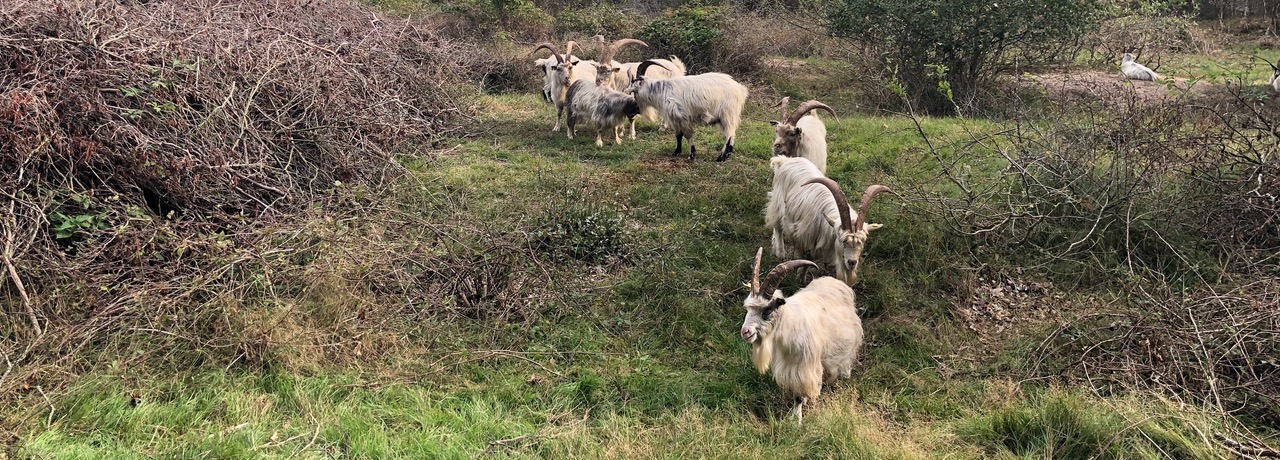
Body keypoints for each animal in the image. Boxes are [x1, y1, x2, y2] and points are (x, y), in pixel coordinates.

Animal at [740, 247, 864, 423]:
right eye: (748, 309)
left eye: (767, 310)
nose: (745, 332)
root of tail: (836, 282)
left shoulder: (804, 369)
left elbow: (799, 395)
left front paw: (796, 421)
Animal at [765, 156, 890, 286]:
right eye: (842, 240)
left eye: (863, 241)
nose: (852, 263)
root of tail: (785, 160)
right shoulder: (805, 237)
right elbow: (807, 259)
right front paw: (800, 278)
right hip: (778, 204)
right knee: (778, 226)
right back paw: (780, 252)